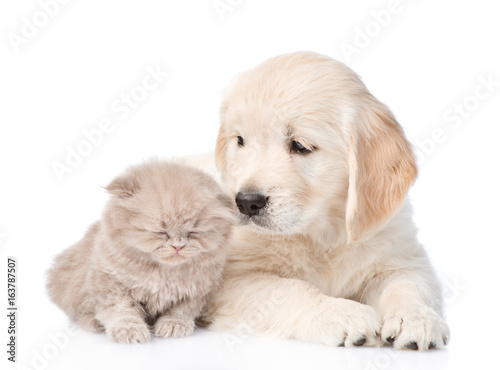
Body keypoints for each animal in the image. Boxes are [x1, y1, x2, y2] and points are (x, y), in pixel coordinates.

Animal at [47, 159, 234, 344]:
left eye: (193, 233)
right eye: (161, 232)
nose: (178, 246)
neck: (164, 273)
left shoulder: (198, 291)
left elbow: (181, 310)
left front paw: (174, 325)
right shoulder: (109, 284)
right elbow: (122, 311)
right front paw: (130, 331)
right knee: (79, 314)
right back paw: (94, 323)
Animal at [198, 51, 450, 350]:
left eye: (300, 146)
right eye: (240, 141)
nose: (246, 202)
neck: (322, 233)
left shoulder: (403, 257)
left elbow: (407, 284)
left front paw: (416, 318)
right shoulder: (232, 279)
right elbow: (290, 288)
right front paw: (342, 313)